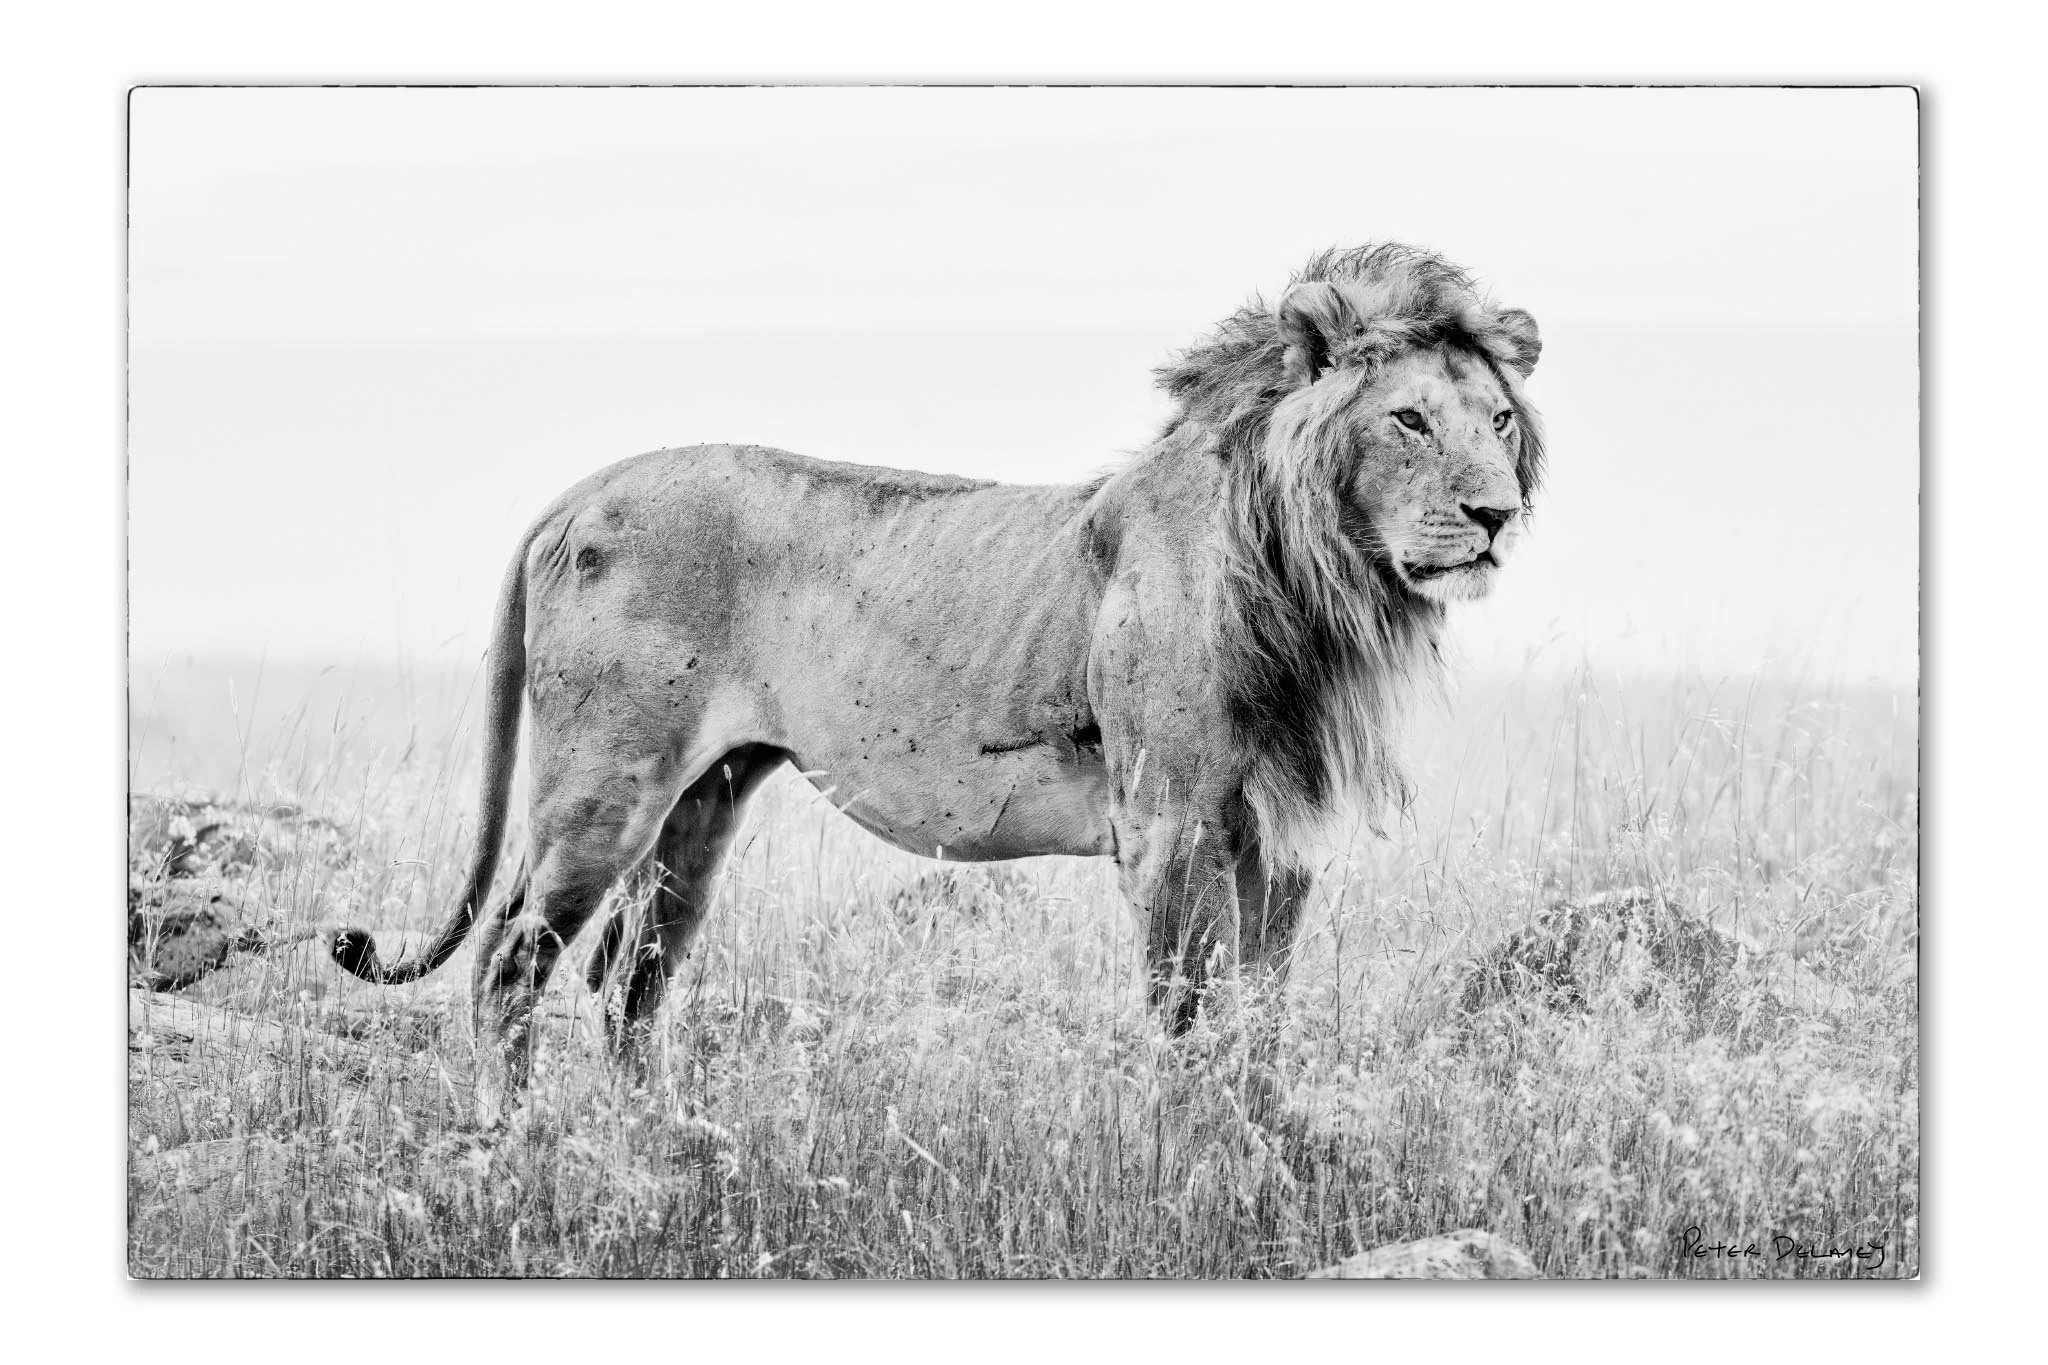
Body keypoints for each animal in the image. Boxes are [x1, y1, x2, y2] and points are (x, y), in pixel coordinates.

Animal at [331, 243, 1546, 1122]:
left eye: (1497, 421)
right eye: (1406, 419)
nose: (1496, 515)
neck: (1319, 579)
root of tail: (580, 488)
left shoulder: (1276, 836)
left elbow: (1260, 1021)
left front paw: (1264, 1145)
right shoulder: (1172, 823)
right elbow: (1190, 1019)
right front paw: (1193, 1159)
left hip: (704, 802)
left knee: (629, 986)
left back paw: (661, 1148)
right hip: (603, 791)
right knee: (508, 963)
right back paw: (515, 1142)